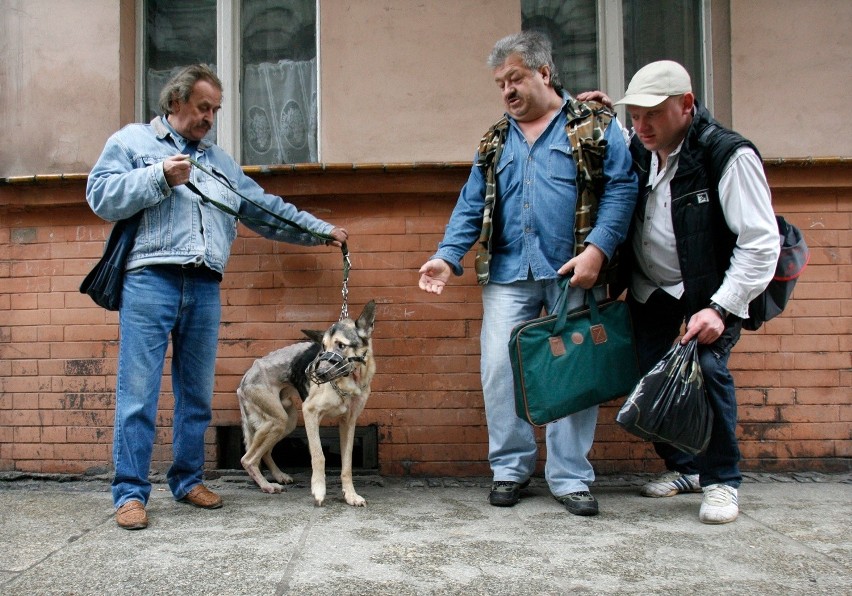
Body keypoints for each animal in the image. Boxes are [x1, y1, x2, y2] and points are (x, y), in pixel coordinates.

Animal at [236, 300, 376, 506]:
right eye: (323, 348)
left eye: (341, 345)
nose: (318, 374)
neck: (350, 382)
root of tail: (245, 378)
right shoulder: (310, 413)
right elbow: (319, 456)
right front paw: (319, 490)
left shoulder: (348, 423)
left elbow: (347, 464)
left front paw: (350, 495)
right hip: (277, 421)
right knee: (248, 459)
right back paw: (267, 485)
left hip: (287, 422)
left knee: (265, 453)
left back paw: (278, 476)